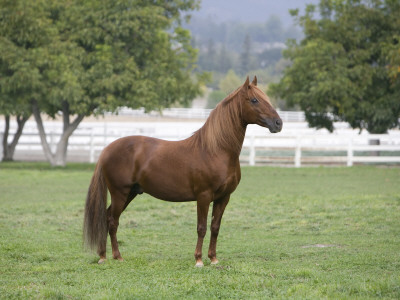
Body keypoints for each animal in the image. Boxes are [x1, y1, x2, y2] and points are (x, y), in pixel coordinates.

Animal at [83, 76, 282, 266]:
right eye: (254, 100)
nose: (278, 123)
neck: (215, 150)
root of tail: (107, 149)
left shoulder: (223, 197)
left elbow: (215, 227)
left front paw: (213, 258)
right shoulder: (204, 196)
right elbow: (201, 228)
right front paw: (199, 260)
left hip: (130, 193)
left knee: (107, 217)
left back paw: (104, 255)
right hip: (120, 193)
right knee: (112, 221)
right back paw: (115, 257)